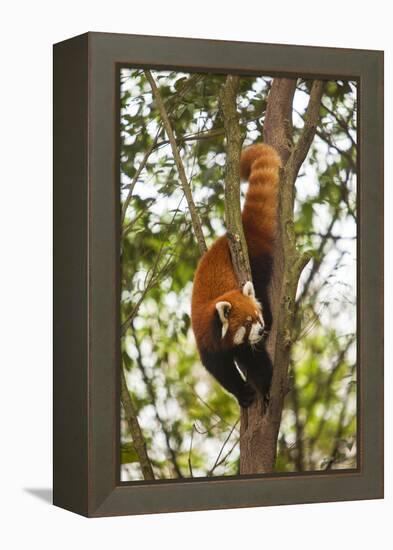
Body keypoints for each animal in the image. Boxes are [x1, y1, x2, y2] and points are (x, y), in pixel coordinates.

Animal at [189, 143, 278, 410]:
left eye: (256, 316)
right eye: (247, 324)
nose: (261, 329)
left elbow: (256, 360)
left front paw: (266, 388)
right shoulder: (207, 342)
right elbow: (220, 371)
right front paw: (242, 393)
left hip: (257, 264)